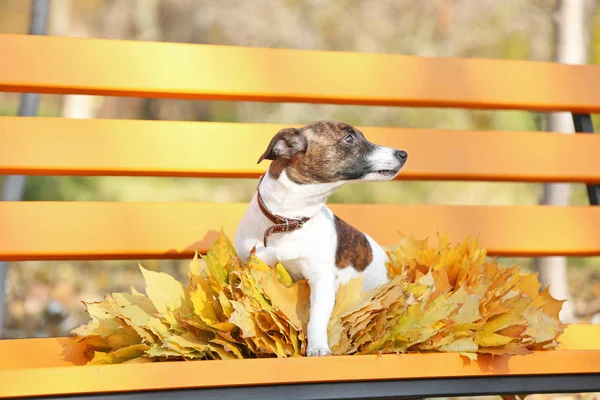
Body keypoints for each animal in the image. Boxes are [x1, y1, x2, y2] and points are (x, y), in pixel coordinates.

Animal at [234, 119, 408, 356]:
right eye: (349, 139)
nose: (403, 153)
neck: (287, 222)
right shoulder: (253, 267)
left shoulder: (322, 280)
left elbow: (316, 318)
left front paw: (317, 347)